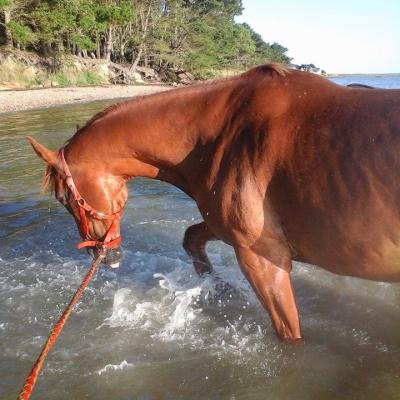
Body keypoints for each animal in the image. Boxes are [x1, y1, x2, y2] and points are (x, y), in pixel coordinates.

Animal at [28, 65, 400, 340]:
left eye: (63, 198)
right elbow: (191, 238)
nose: (105, 257)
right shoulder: (225, 228)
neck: (221, 133)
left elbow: (288, 331)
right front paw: (220, 289)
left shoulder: (261, 256)